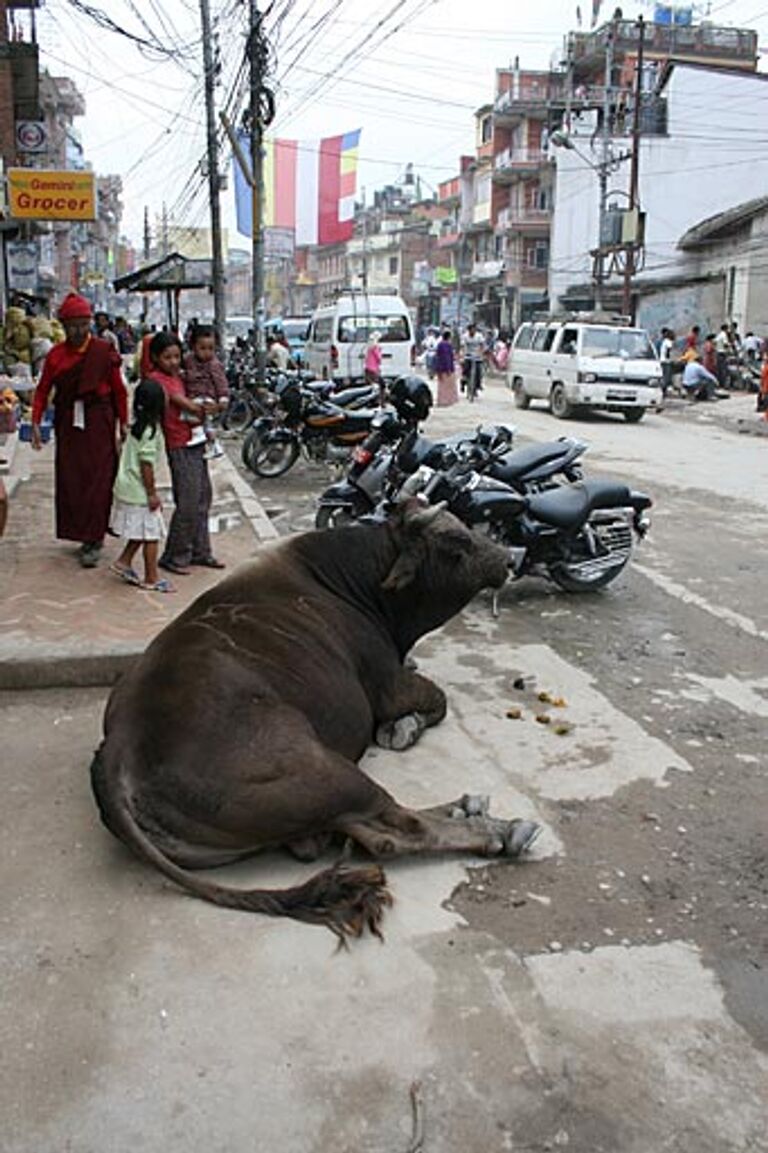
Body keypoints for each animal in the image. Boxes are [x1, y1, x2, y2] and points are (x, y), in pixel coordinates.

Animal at [91, 502, 537, 936]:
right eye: (456, 540)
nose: (509, 559)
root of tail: (121, 742)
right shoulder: (389, 685)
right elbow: (438, 700)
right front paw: (403, 727)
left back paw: (467, 808)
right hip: (326, 771)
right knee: (393, 831)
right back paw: (496, 830)